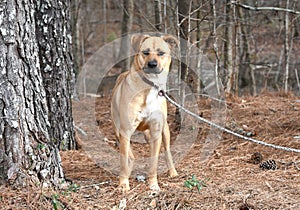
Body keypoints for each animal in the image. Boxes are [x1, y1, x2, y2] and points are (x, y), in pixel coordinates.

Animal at [111, 34, 179, 192]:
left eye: (161, 53)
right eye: (145, 52)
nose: (152, 64)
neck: (149, 87)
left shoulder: (156, 131)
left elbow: (154, 162)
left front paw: (153, 184)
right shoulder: (125, 130)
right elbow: (124, 159)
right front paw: (123, 184)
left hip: (164, 130)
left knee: (167, 151)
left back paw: (173, 172)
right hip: (118, 128)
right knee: (129, 153)